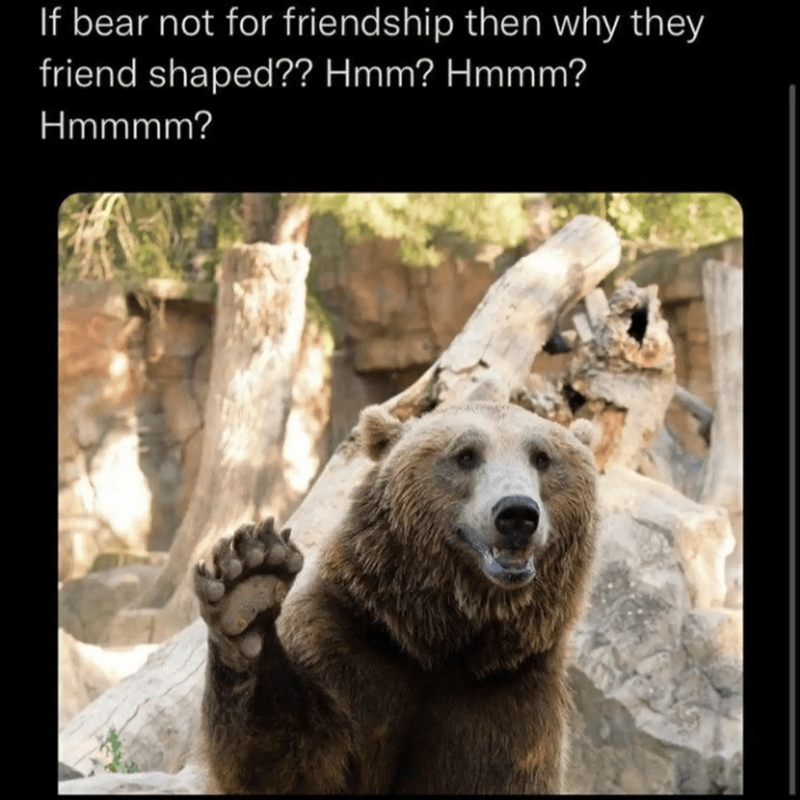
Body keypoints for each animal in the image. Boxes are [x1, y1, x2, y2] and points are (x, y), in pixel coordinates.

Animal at [193, 401, 599, 794]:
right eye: (465, 455)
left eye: (542, 457)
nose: (517, 513)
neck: (443, 642)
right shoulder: (350, 645)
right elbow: (290, 760)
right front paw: (249, 588)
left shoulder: (512, 697)